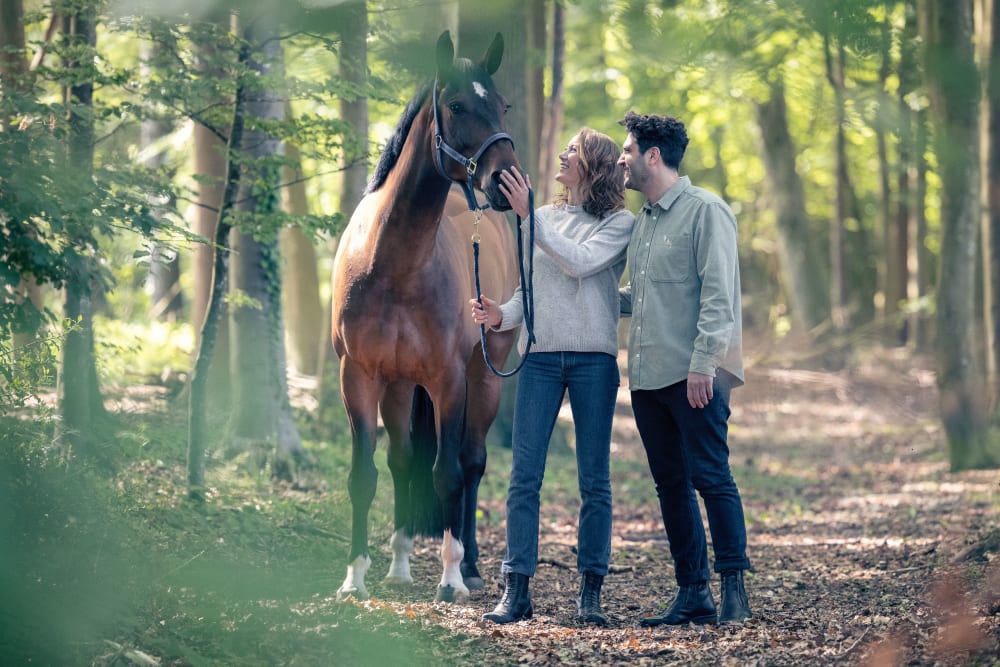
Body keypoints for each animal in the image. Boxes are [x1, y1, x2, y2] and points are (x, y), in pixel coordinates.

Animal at [332, 32, 524, 604]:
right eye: (457, 106)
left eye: (502, 105)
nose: (509, 181)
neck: (392, 265)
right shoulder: (358, 377)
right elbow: (365, 475)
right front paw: (354, 578)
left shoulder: (449, 379)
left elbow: (448, 473)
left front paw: (451, 578)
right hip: (398, 386)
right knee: (401, 460)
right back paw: (397, 566)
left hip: (485, 378)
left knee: (473, 462)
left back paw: (473, 567)